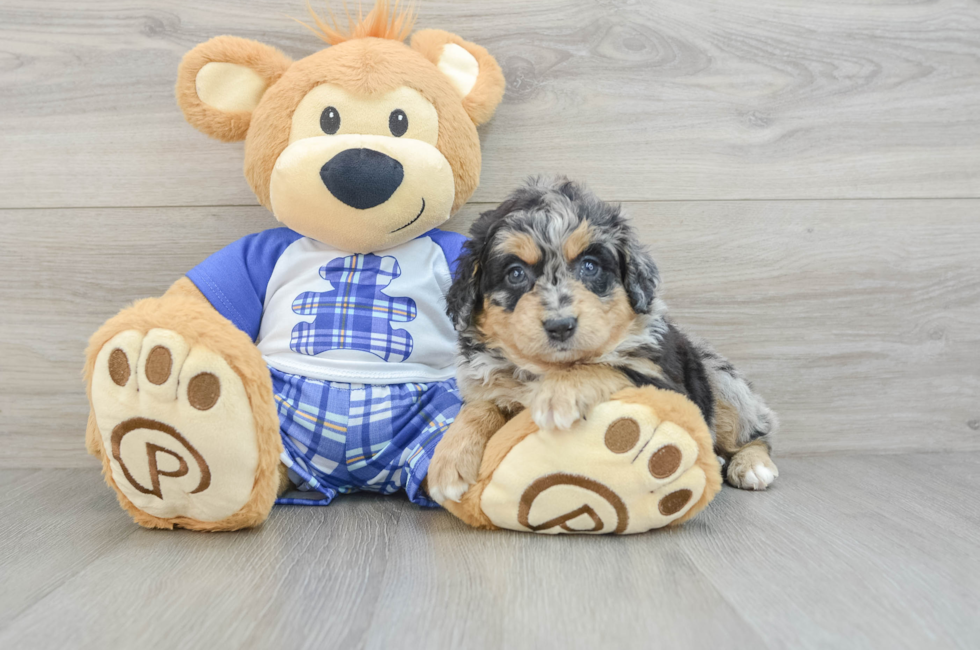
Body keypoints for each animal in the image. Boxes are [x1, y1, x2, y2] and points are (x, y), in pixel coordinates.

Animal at [428, 176, 780, 502]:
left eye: (590, 266)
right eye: (515, 273)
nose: (560, 326)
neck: (546, 369)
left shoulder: (668, 386)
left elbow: (607, 366)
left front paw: (558, 396)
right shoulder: (483, 384)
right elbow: (479, 407)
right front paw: (449, 461)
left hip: (720, 379)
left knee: (757, 433)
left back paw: (751, 465)